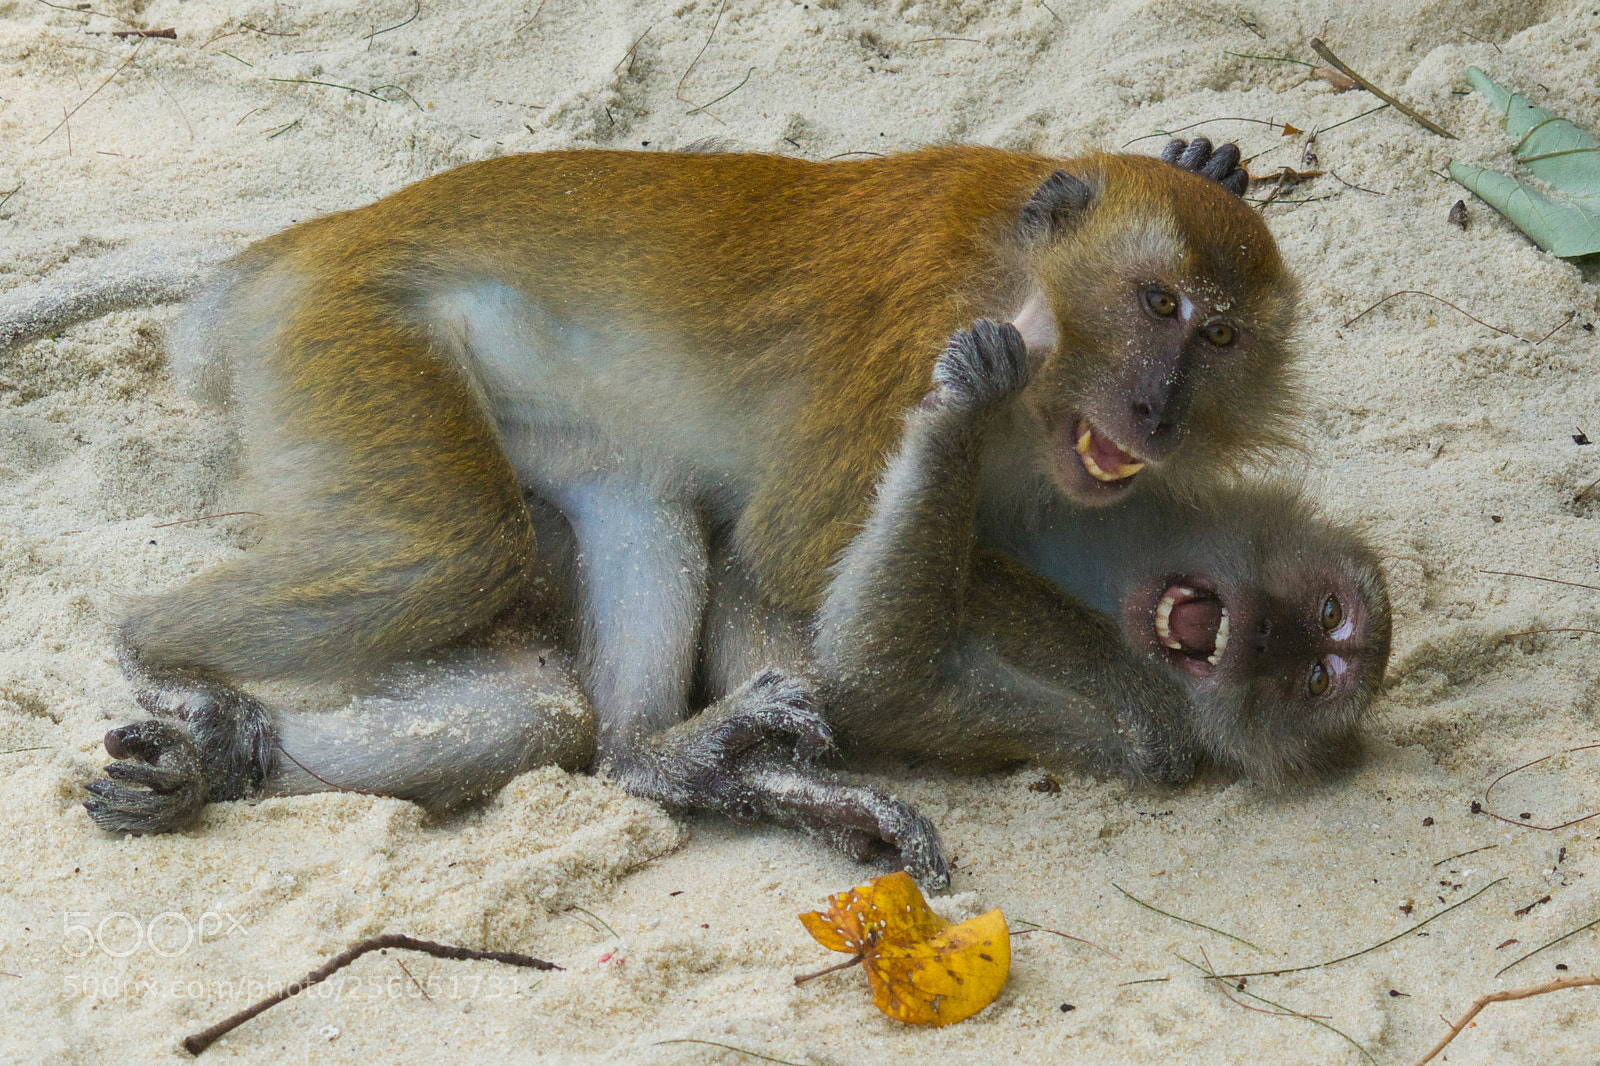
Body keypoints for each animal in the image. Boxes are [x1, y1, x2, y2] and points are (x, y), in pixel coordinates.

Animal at [74, 136, 1296, 843]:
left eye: (1219, 335)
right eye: (1155, 303)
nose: (1159, 408)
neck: (1019, 264)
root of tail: (307, 246)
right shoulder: (925, 339)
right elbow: (798, 544)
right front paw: (1160, 695)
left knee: (611, 561)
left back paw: (655, 757)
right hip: (343, 342)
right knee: (455, 548)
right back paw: (156, 655)